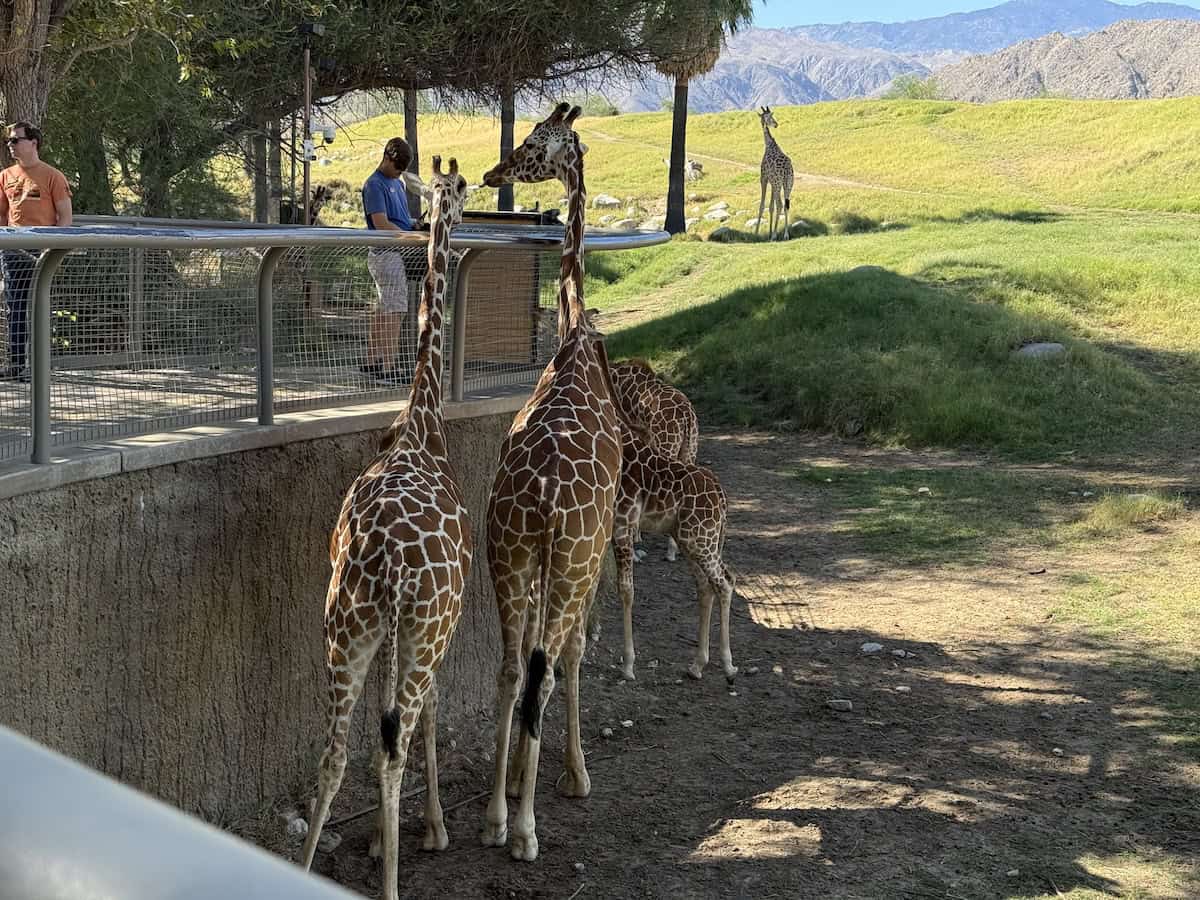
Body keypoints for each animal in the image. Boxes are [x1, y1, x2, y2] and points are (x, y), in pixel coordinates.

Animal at [610, 421, 736, 682]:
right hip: (691, 539)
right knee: (705, 585)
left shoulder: (621, 525)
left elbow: (626, 590)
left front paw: (628, 665)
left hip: (700, 539)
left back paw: (728, 665)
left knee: (725, 582)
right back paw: (697, 665)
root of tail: (721, 495)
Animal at [755, 106, 795, 242]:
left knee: (780, 204)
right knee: (786, 205)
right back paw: (786, 235)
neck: (769, 144)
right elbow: (771, 206)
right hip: (788, 184)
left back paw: (775, 236)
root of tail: (786, 170)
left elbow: (762, 205)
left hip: (778, 183)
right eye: (769, 117)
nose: (776, 124)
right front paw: (769, 231)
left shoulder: (764, 178)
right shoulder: (772, 182)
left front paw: (756, 232)